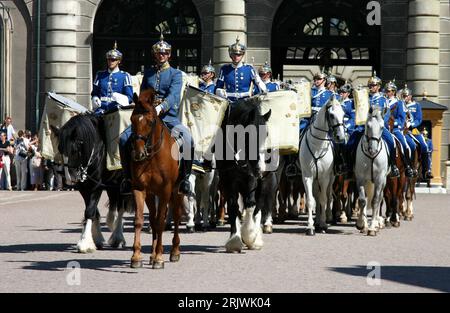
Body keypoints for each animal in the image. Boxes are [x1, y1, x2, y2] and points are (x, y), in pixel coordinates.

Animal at [55, 113, 133, 252]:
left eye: (75, 149)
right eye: (60, 149)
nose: (70, 178)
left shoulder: (96, 186)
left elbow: (90, 211)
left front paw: (84, 242)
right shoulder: (84, 188)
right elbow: (93, 212)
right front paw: (96, 239)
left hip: (122, 184)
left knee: (120, 208)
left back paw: (118, 236)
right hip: (112, 184)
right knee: (113, 208)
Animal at [129, 88, 184, 268]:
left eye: (151, 121)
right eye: (132, 119)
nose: (138, 154)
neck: (152, 157)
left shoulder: (166, 190)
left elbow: (161, 222)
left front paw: (160, 257)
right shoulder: (140, 189)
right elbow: (140, 220)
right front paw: (136, 256)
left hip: (176, 191)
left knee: (175, 216)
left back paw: (174, 251)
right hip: (152, 194)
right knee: (152, 218)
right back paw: (152, 254)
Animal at [217, 97, 270, 251]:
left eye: (266, 134)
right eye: (249, 134)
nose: (261, 167)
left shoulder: (251, 179)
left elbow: (251, 204)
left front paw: (249, 236)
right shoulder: (228, 180)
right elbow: (233, 206)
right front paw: (234, 240)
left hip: (263, 183)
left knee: (258, 206)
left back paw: (256, 239)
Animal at [300, 96, 346, 235]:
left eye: (344, 114)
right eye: (331, 115)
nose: (341, 137)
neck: (317, 145)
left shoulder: (324, 177)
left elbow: (324, 199)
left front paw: (324, 224)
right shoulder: (308, 176)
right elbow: (311, 200)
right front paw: (310, 226)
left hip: (331, 178)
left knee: (328, 195)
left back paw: (326, 218)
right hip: (316, 179)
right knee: (316, 195)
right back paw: (317, 221)